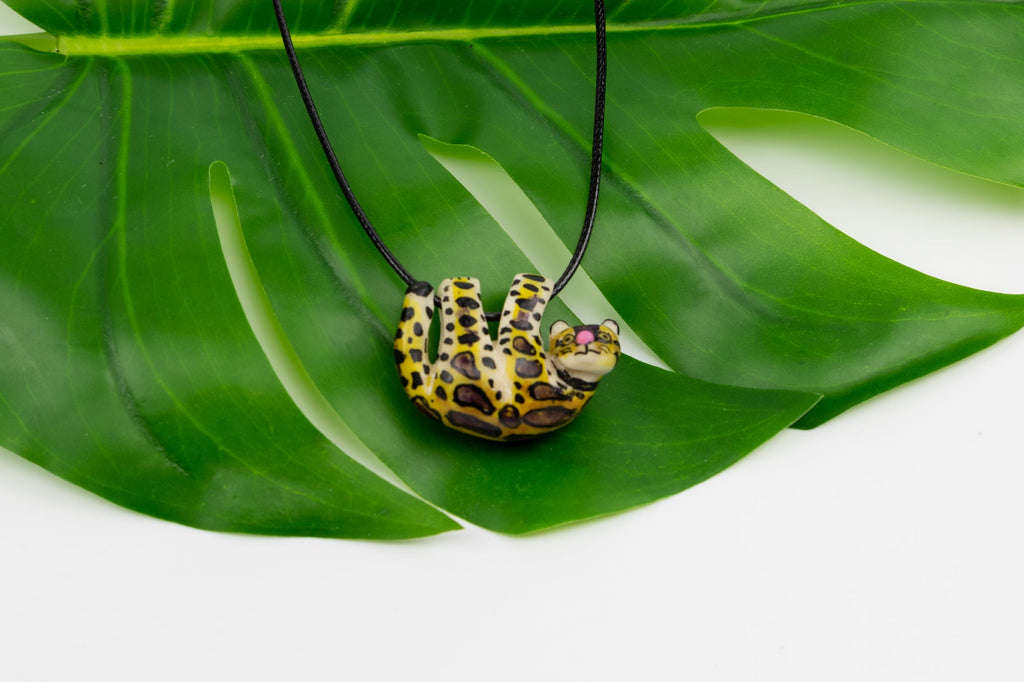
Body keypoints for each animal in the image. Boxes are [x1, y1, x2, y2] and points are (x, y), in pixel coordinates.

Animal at [393, 273, 620, 441]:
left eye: (604, 337)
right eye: (567, 339)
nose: (585, 339)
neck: (577, 382)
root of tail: (430, 397)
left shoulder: (523, 349)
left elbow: (525, 305)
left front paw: (533, 281)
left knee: (463, 304)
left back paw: (459, 283)